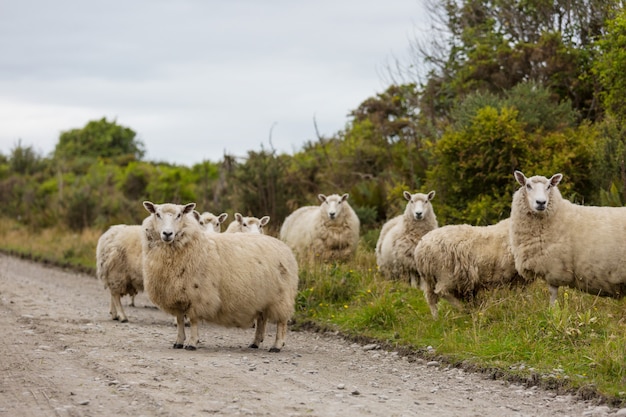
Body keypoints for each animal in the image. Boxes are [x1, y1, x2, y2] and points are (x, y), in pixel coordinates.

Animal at [141, 200, 298, 350]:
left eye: (179, 215)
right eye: (157, 214)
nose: (167, 234)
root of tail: (284, 247)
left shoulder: (199, 295)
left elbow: (193, 320)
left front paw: (192, 343)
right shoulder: (177, 295)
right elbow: (180, 320)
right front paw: (178, 342)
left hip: (281, 296)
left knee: (281, 322)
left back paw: (277, 345)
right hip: (263, 297)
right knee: (261, 320)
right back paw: (255, 342)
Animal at [510, 170, 626, 306]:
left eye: (549, 186)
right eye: (528, 185)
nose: (541, 202)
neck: (557, 214)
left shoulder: (554, 267)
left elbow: (552, 294)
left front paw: (552, 311)